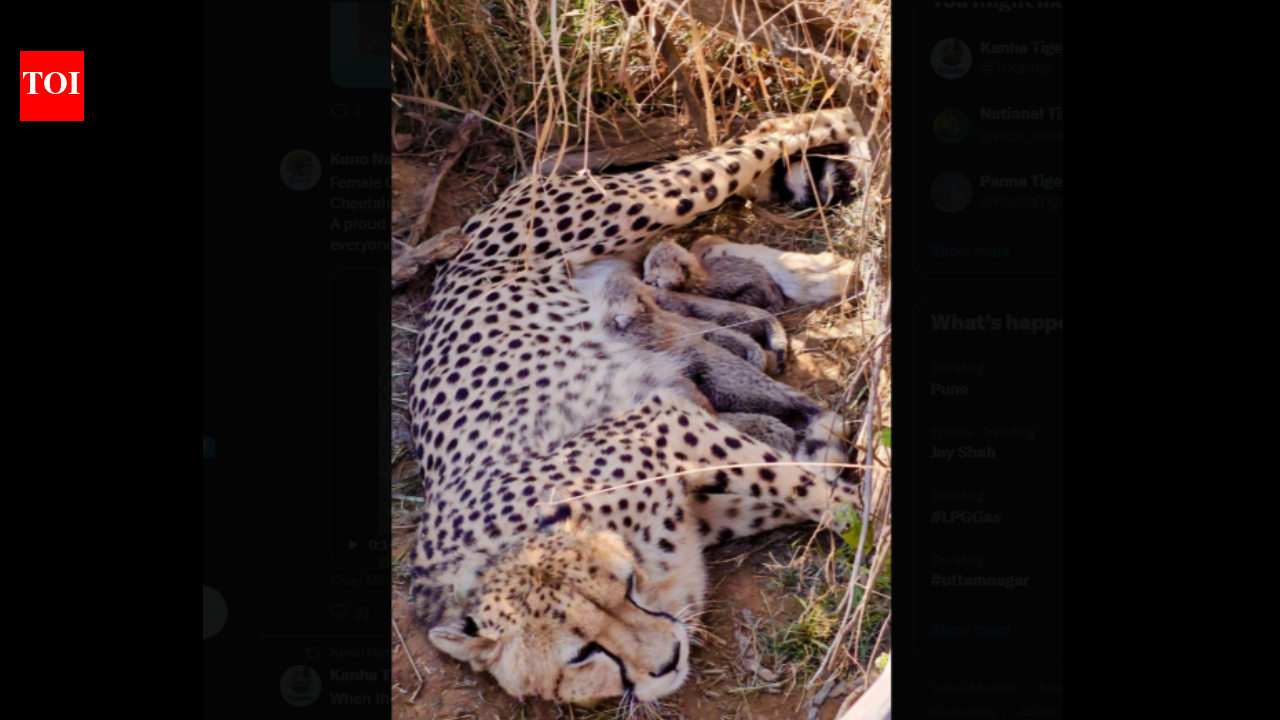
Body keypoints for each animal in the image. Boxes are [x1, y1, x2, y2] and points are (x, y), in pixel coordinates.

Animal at [407, 108, 864, 709]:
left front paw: (874, 521)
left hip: (645, 201)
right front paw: (826, 449)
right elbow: (803, 479)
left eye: (624, 587)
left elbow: (810, 488)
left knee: (770, 135)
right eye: (582, 655)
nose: (668, 660)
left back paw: (845, 130)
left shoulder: (666, 424)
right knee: (710, 240)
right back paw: (815, 275)